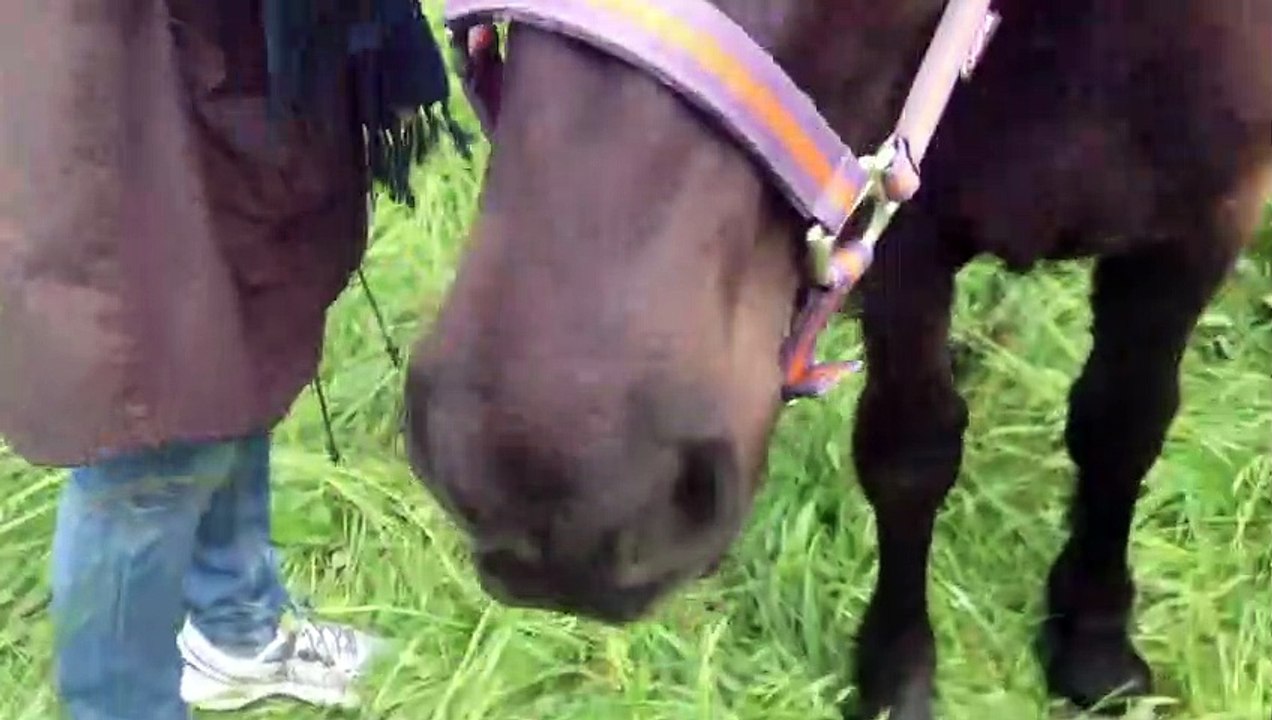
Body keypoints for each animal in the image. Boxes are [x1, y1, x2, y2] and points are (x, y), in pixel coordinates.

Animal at [403, 1, 1272, 718]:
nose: (559, 497)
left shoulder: (1202, 225)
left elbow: (1122, 429)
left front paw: (1093, 639)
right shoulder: (902, 239)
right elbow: (911, 455)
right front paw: (896, 674)